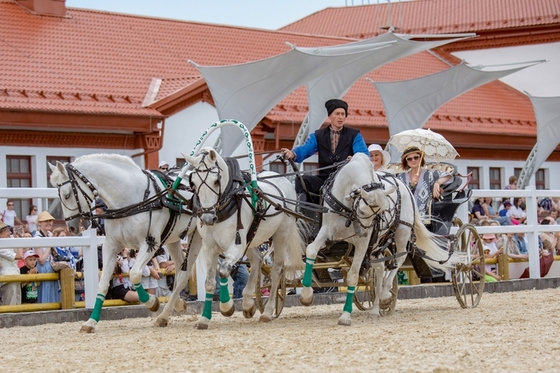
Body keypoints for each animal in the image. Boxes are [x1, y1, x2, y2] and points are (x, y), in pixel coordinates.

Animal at [48, 153, 201, 332]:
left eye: (67, 195)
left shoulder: (150, 244)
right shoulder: (111, 245)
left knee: (185, 272)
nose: (72, 227)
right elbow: (103, 283)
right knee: (180, 270)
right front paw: (91, 321)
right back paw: (175, 305)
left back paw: (164, 314)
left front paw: (152, 302)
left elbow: (134, 274)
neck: (130, 199)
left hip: (197, 236)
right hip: (173, 239)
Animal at [184, 147, 306, 326]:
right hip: (252, 238)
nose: (207, 218)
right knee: (257, 261)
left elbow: (224, 270)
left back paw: (267, 312)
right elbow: (209, 283)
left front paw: (227, 307)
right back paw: (248, 304)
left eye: (216, 181)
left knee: (276, 270)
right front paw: (204, 319)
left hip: (281, 234)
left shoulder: (236, 246)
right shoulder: (210, 248)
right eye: (193, 183)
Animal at [300, 153, 466, 324]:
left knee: (399, 258)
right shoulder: (327, 231)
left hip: (401, 232)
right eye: (362, 210)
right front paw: (306, 295)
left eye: (379, 213)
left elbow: (353, 275)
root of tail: (405, 186)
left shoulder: (363, 242)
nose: (362, 232)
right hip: (377, 241)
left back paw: (385, 294)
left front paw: (346, 315)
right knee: (380, 267)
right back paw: (375, 308)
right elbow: (311, 250)